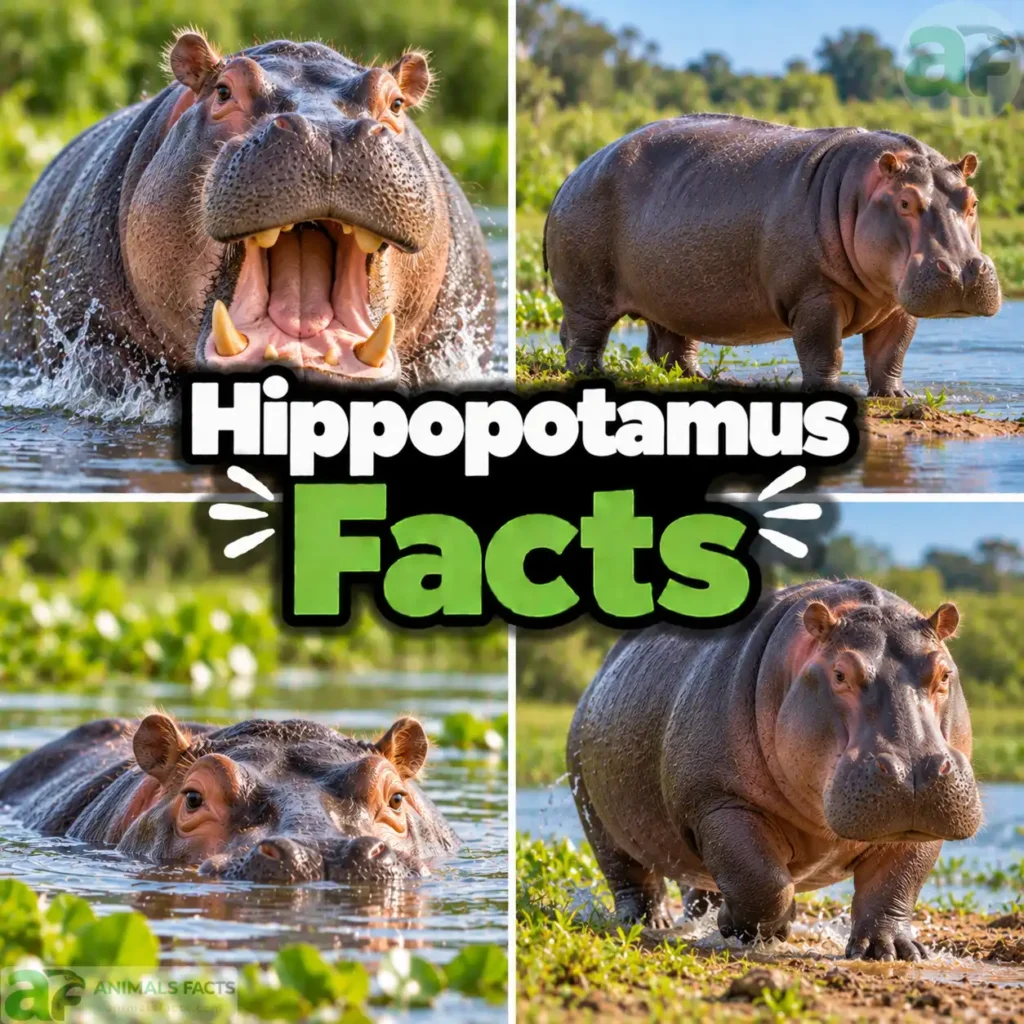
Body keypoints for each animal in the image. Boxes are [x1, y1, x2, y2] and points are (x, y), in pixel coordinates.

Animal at [545, 114, 1001, 395]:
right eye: (905, 202)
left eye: (972, 200)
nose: (963, 271)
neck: (860, 193)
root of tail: (574, 172)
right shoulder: (814, 297)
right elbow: (824, 350)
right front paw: (832, 391)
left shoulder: (896, 304)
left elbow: (891, 353)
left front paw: (897, 397)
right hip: (588, 292)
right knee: (582, 337)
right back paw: (593, 374)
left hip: (671, 296)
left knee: (669, 346)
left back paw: (698, 377)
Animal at [567, 579, 982, 961]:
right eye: (840, 674)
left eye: (944, 673)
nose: (914, 772)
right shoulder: (718, 803)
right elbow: (762, 881)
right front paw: (752, 930)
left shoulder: (914, 828)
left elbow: (894, 884)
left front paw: (892, 951)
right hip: (595, 815)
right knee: (630, 875)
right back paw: (646, 923)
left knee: (700, 883)